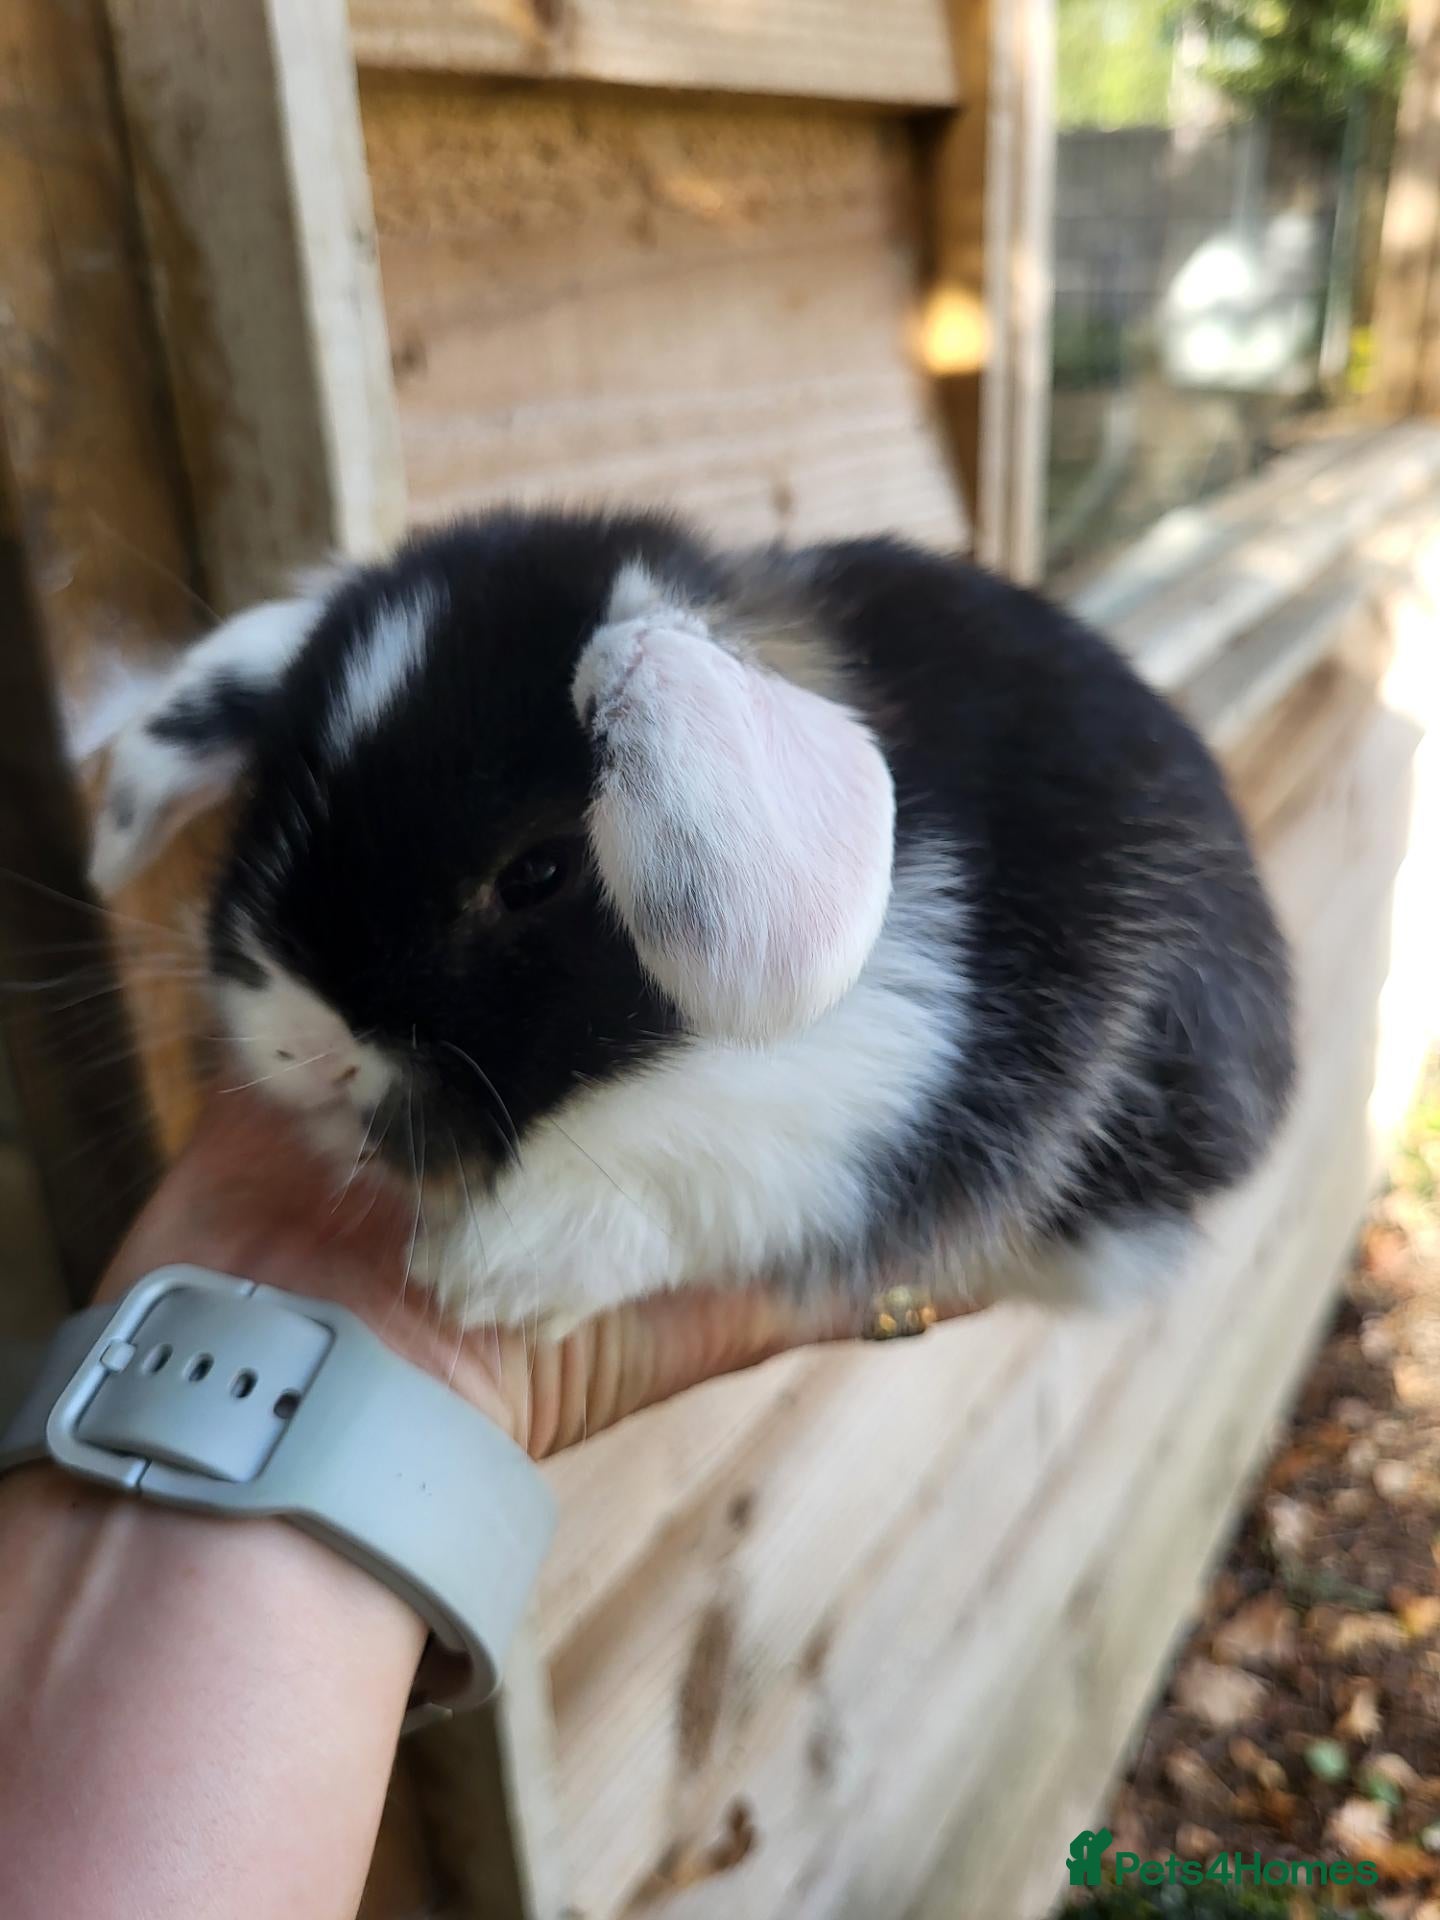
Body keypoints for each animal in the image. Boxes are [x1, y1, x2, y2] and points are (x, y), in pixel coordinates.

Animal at [91, 509, 1295, 1334]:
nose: (305, 1048)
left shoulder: (854, 1105)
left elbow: (673, 1183)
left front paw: (490, 1275)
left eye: (537, 870)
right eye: (260, 809)